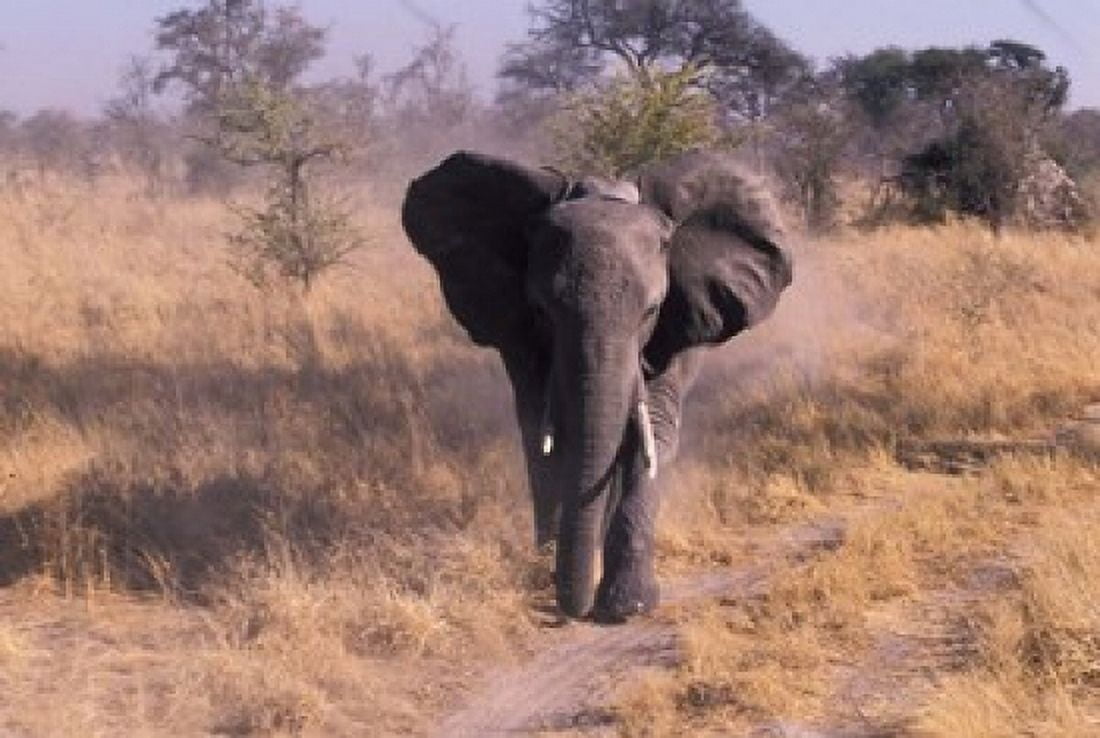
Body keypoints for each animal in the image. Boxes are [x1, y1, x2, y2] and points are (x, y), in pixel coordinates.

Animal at [402, 149, 792, 621]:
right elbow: (542, 432)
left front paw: (628, 605)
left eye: (652, 311)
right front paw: (549, 568)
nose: (573, 609)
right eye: (541, 311)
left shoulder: (676, 329)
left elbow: (652, 433)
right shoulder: (519, 332)